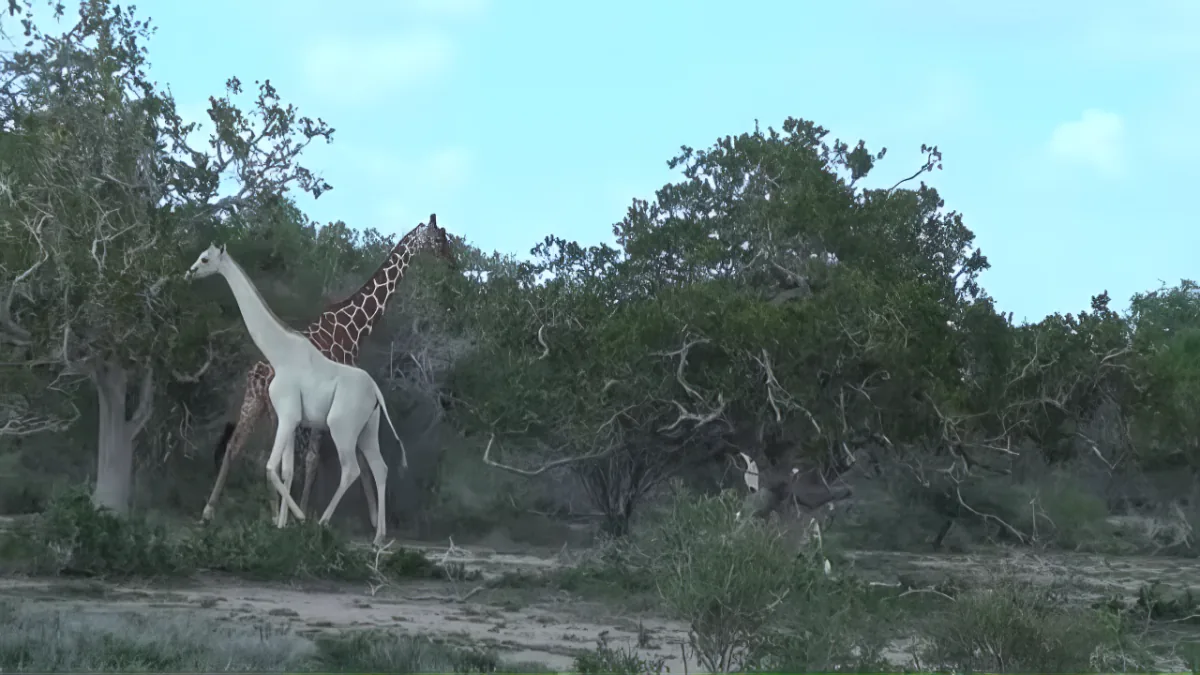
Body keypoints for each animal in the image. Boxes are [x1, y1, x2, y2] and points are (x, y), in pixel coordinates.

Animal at [185, 244, 404, 545]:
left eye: (205, 259)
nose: (189, 272)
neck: (280, 354)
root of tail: (376, 393)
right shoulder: (290, 417)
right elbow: (285, 470)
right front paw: (282, 525)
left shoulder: (288, 416)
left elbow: (271, 467)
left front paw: (297, 519)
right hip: (367, 429)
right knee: (380, 468)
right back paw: (379, 537)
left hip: (341, 426)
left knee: (351, 469)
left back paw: (322, 523)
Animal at [200, 214, 454, 523]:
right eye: (440, 238)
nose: (451, 260)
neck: (352, 328)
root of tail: (257, 373)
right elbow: (318, 461)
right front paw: (311, 513)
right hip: (271, 410)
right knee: (263, 456)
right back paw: (271, 514)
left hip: (253, 404)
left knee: (235, 447)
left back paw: (212, 509)